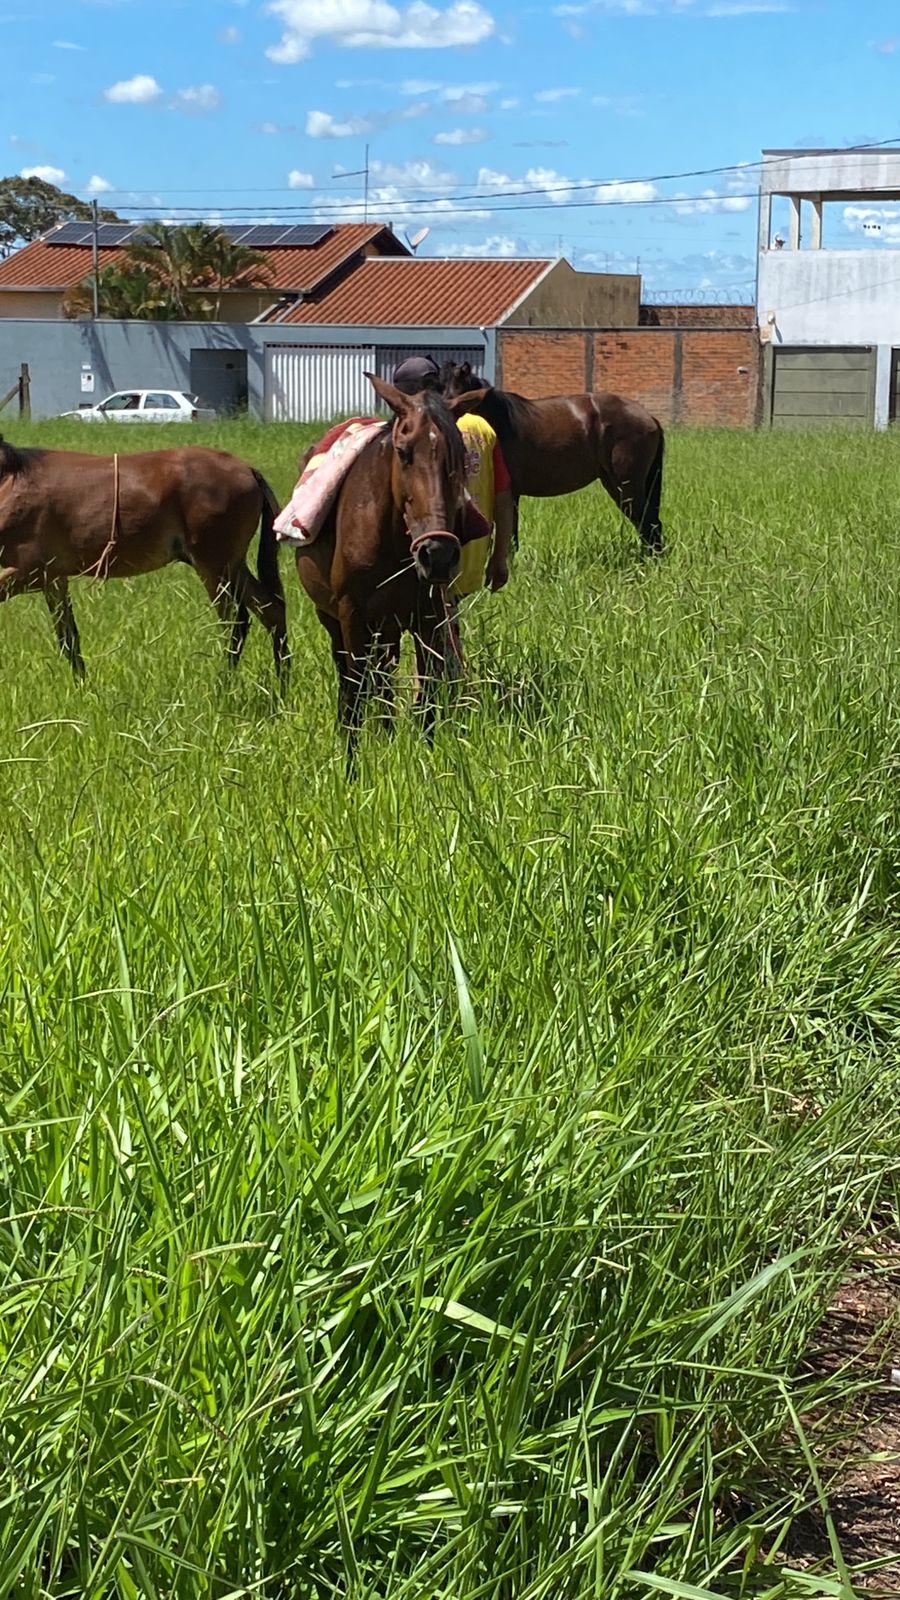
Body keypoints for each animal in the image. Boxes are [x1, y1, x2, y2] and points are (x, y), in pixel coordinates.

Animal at [0, 438, 289, 685]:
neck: (11, 484)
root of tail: (247, 469)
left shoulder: (30, 572)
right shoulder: (54, 579)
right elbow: (69, 640)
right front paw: (84, 690)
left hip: (213, 566)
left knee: (235, 623)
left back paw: (224, 687)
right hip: (232, 565)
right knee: (271, 611)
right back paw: (281, 687)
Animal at [294, 375, 468, 762]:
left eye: (460, 454)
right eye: (403, 452)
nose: (438, 553)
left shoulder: (428, 618)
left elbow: (426, 699)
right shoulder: (351, 615)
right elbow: (356, 696)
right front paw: (352, 765)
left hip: (388, 626)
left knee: (385, 678)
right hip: (334, 619)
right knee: (354, 680)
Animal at [441, 361, 665, 555]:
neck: (496, 424)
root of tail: (649, 418)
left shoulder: (510, 493)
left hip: (627, 484)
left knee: (647, 523)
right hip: (614, 483)